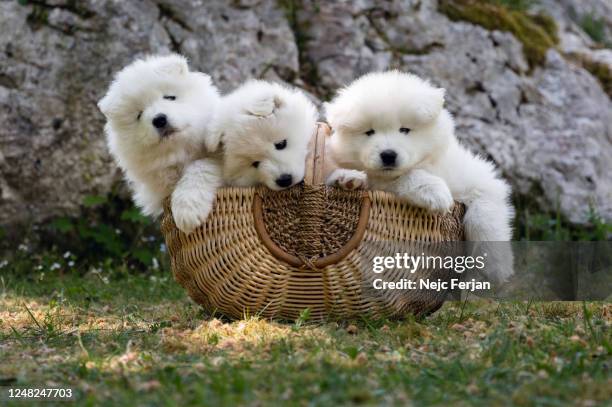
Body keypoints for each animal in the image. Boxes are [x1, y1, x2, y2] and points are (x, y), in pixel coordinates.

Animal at [99, 54, 224, 234]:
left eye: (169, 97)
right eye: (139, 114)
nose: (159, 119)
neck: (180, 151)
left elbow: (200, 167)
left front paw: (187, 213)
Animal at [328, 71, 512, 280]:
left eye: (404, 129)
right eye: (369, 132)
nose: (388, 155)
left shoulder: (475, 177)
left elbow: (486, 211)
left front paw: (495, 267)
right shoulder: (383, 182)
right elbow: (408, 178)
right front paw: (435, 193)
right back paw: (348, 179)